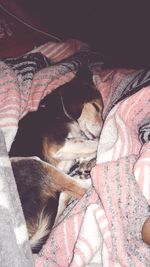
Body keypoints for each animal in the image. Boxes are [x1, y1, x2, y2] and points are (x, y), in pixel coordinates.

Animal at [9, 69, 103, 253]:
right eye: (96, 108)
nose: (103, 129)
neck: (57, 111)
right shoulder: (57, 146)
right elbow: (92, 143)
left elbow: (84, 148)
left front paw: (86, 161)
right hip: (32, 162)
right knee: (81, 189)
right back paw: (91, 176)